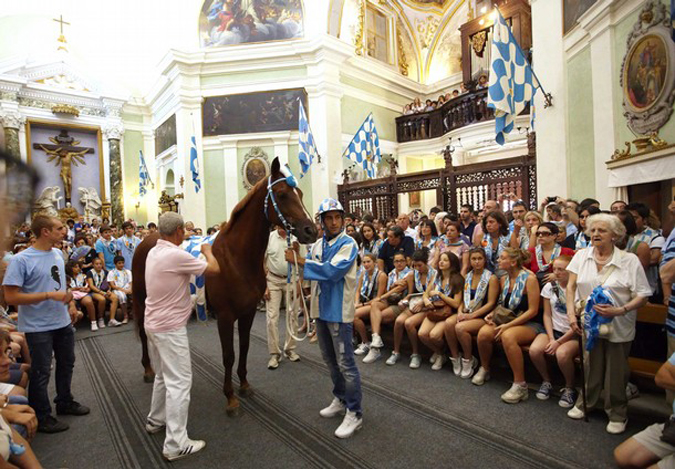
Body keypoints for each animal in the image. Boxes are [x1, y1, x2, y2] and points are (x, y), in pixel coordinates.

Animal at [136, 157, 320, 414]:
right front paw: (230, 397)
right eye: (282, 194)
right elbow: (228, 355)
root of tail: (148, 239)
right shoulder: (224, 315)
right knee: (144, 333)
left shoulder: (247, 312)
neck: (235, 257)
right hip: (142, 301)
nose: (311, 231)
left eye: (300, 193)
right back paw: (147, 369)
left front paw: (244, 385)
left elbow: (244, 347)